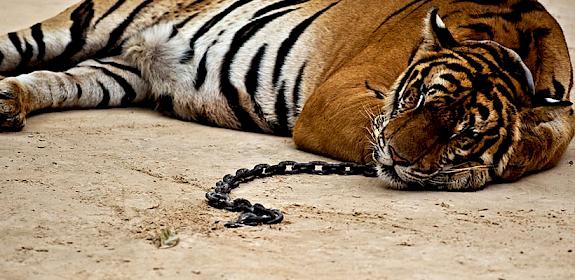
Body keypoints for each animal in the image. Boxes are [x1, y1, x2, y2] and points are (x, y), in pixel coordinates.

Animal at [0, 0, 572, 190]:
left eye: (463, 133)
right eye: (415, 99)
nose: (398, 158)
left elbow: (548, 134)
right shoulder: (333, 98)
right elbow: (372, 128)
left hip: (115, 73)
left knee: (55, 80)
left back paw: (9, 102)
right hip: (87, 21)